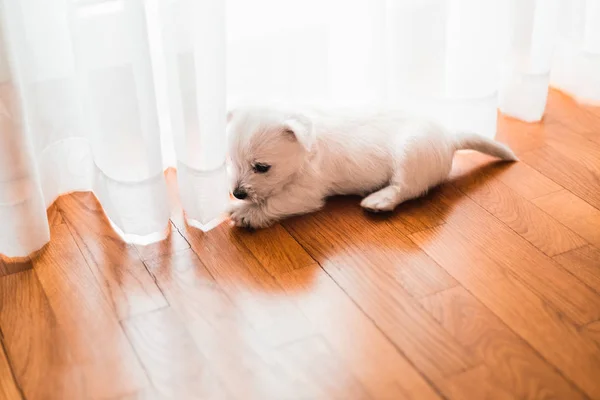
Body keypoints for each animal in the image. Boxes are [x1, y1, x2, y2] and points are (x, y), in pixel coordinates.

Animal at [225, 106, 516, 230]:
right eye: (231, 162)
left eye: (261, 167)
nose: (237, 193)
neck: (306, 150)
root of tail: (450, 137)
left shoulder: (305, 193)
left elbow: (274, 201)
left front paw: (245, 213)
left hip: (411, 154)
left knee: (406, 188)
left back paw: (380, 200)